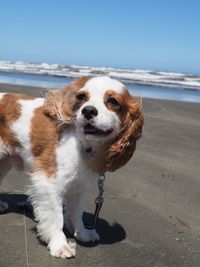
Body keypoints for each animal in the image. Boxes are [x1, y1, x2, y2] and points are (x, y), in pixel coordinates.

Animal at [0, 76, 144, 260]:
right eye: (81, 98)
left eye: (112, 101)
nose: (88, 111)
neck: (84, 145)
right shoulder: (49, 183)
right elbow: (56, 217)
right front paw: (59, 244)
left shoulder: (79, 188)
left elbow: (76, 213)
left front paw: (82, 232)